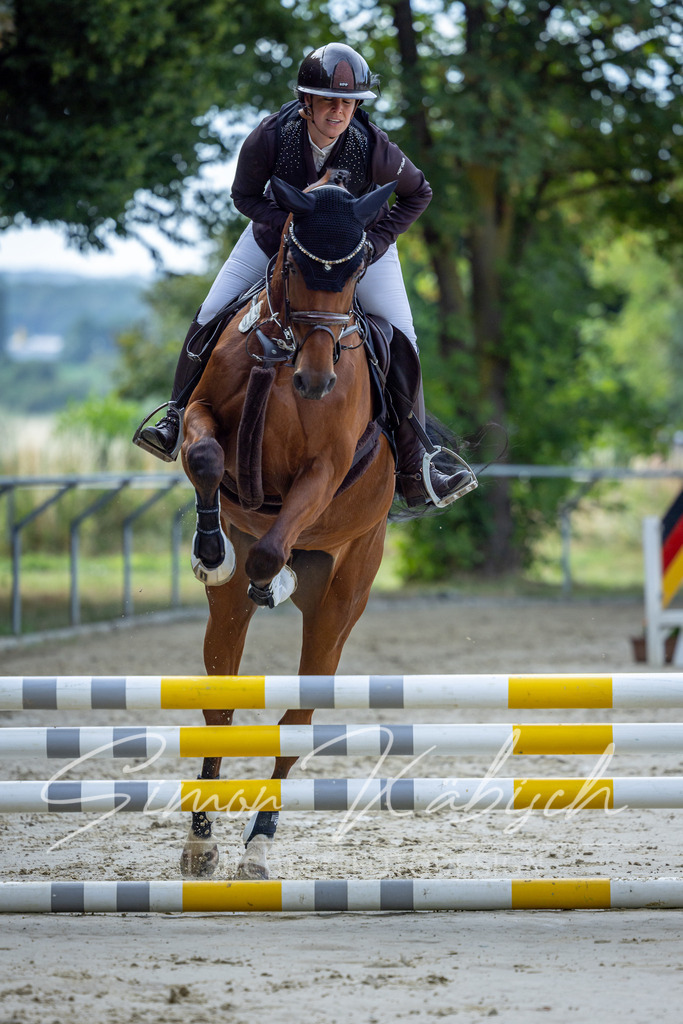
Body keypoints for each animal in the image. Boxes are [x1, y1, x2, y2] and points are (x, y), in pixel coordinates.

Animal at [179, 172, 398, 879]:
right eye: (297, 267)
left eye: (356, 272)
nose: (317, 380)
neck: (283, 353)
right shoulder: (203, 413)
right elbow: (205, 457)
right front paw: (211, 550)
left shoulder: (323, 470)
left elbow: (274, 546)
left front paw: (267, 578)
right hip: (225, 623)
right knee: (220, 703)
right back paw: (202, 838)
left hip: (342, 600)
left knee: (297, 716)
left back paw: (260, 841)